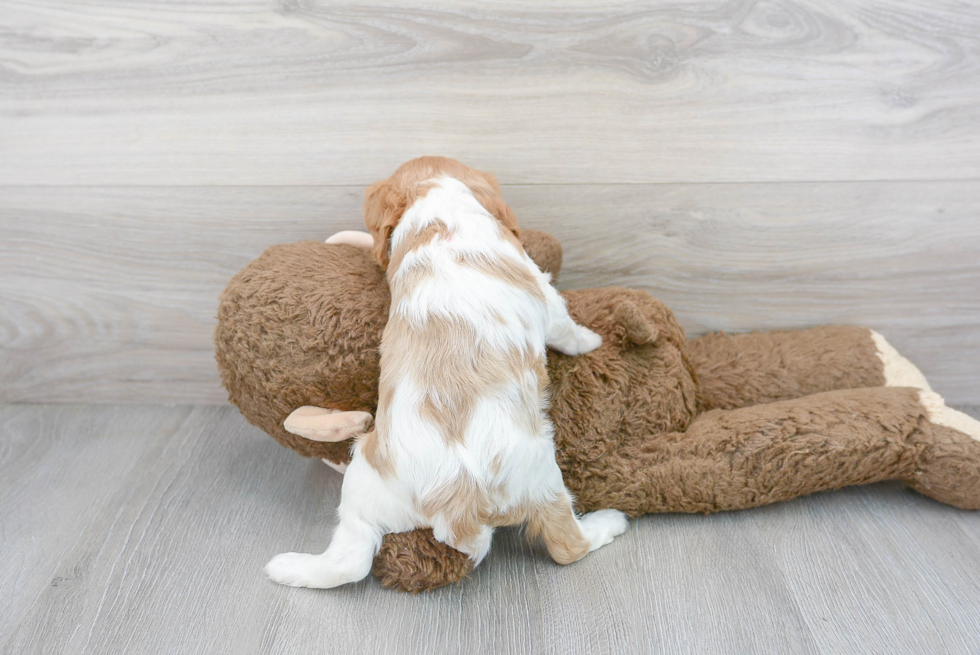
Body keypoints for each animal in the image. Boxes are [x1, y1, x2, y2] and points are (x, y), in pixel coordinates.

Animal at [264, 158, 628, 588]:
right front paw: (593, 340)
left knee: (350, 558)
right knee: (568, 546)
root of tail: (457, 509)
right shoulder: (546, 298)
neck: (437, 210)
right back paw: (609, 523)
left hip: (362, 482)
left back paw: (287, 567)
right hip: (542, 478)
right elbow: (568, 330)